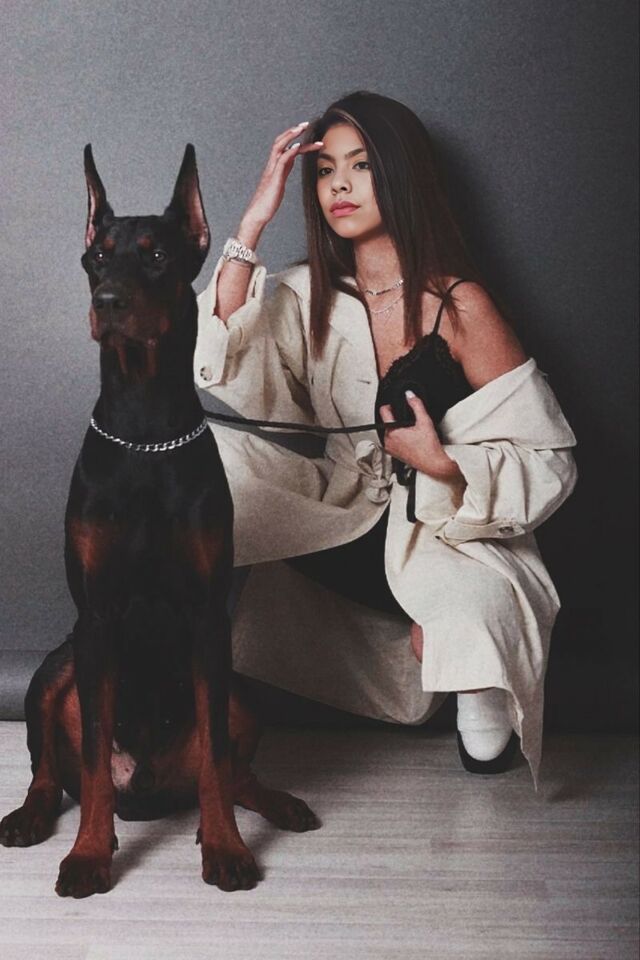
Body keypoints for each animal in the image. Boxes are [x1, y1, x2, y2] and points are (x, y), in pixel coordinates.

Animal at [0, 144, 319, 897]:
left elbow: (217, 764)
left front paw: (226, 847)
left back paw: (271, 803)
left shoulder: (207, 618)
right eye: (96, 257)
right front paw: (88, 853)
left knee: (230, 766)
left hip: (239, 690)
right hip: (55, 667)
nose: (106, 303)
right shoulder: (97, 618)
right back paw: (31, 816)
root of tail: (146, 785)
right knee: (50, 769)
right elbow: (89, 761)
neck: (145, 430)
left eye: (156, 256)